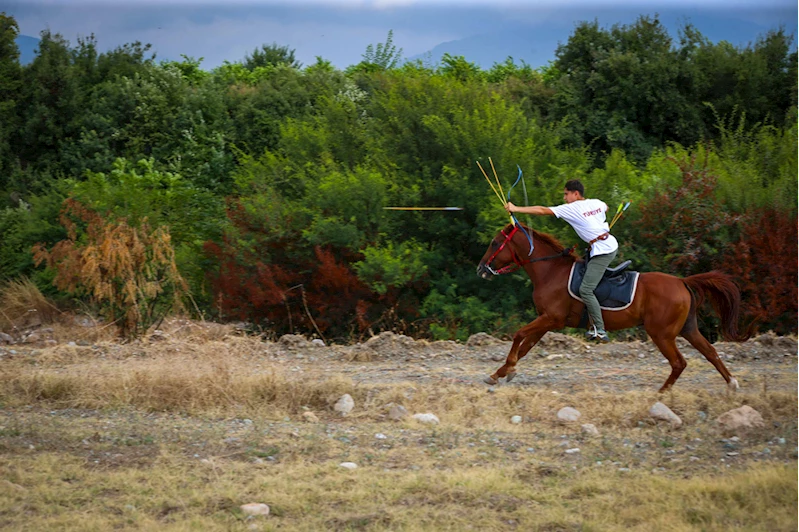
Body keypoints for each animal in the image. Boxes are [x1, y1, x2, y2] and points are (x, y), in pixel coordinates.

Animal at [478, 222, 752, 392]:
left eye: (494, 242)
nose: (481, 269)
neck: (551, 271)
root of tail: (682, 282)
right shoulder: (546, 321)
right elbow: (526, 346)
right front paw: (503, 372)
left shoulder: (551, 319)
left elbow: (519, 335)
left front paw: (505, 369)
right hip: (688, 329)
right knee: (711, 353)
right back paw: (732, 384)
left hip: (662, 334)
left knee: (679, 363)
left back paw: (661, 393)